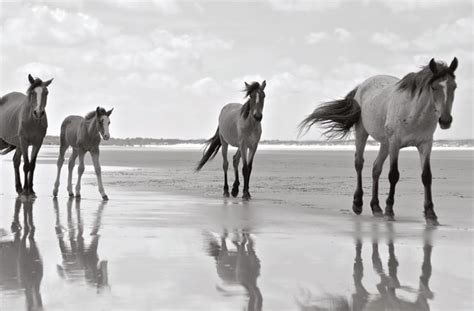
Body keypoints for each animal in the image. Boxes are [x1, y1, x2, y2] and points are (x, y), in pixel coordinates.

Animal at [300, 57, 460, 225]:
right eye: (434, 87)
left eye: (454, 87)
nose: (445, 121)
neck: (413, 112)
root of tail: (362, 86)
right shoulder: (395, 143)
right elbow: (393, 175)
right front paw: (390, 211)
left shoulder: (425, 145)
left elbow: (426, 176)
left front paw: (431, 215)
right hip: (363, 132)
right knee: (359, 163)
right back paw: (358, 204)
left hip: (385, 143)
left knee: (376, 168)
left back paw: (376, 207)